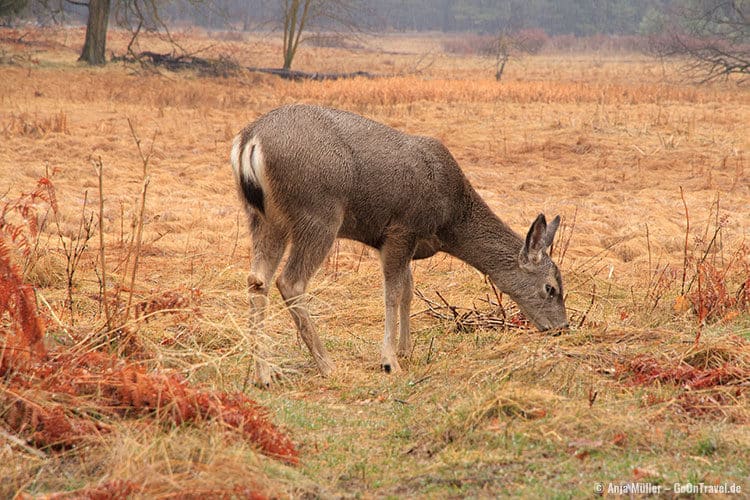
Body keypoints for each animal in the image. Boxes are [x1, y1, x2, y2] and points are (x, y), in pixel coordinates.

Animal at [231, 104, 568, 386]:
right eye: (550, 288)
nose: (562, 327)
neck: (450, 220)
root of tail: (250, 140)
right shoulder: (400, 230)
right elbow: (392, 294)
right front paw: (390, 361)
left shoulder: (408, 244)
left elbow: (408, 291)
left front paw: (406, 350)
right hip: (318, 212)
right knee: (290, 282)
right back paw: (326, 365)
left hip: (262, 218)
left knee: (257, 280)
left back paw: (264, 374)